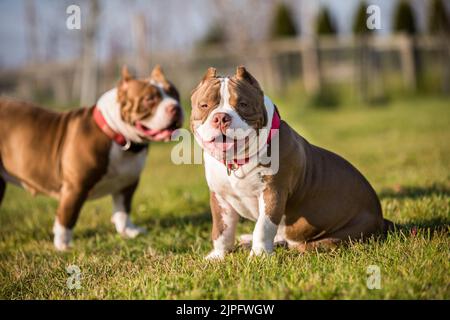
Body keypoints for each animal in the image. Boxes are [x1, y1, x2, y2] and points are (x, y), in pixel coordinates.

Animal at [0, 65, 183, 250]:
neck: (117, 136)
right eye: (149, 99)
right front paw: (63, 244)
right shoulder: (75, 188)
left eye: (175, 94)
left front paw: (128, 231)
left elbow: (123, 209)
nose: (175, 107)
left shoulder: (128, 183)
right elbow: (67, 215)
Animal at [190, 66, 394, 258]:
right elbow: (221, 230)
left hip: (341, 235)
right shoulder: (220, 198)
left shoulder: (273, 193)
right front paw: (218, 255)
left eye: (243, 104)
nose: (221, 118)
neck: (238, 160)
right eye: (204, 105)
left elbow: (263, 227)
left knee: (303, 245)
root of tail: (381, 219)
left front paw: (259, 256)